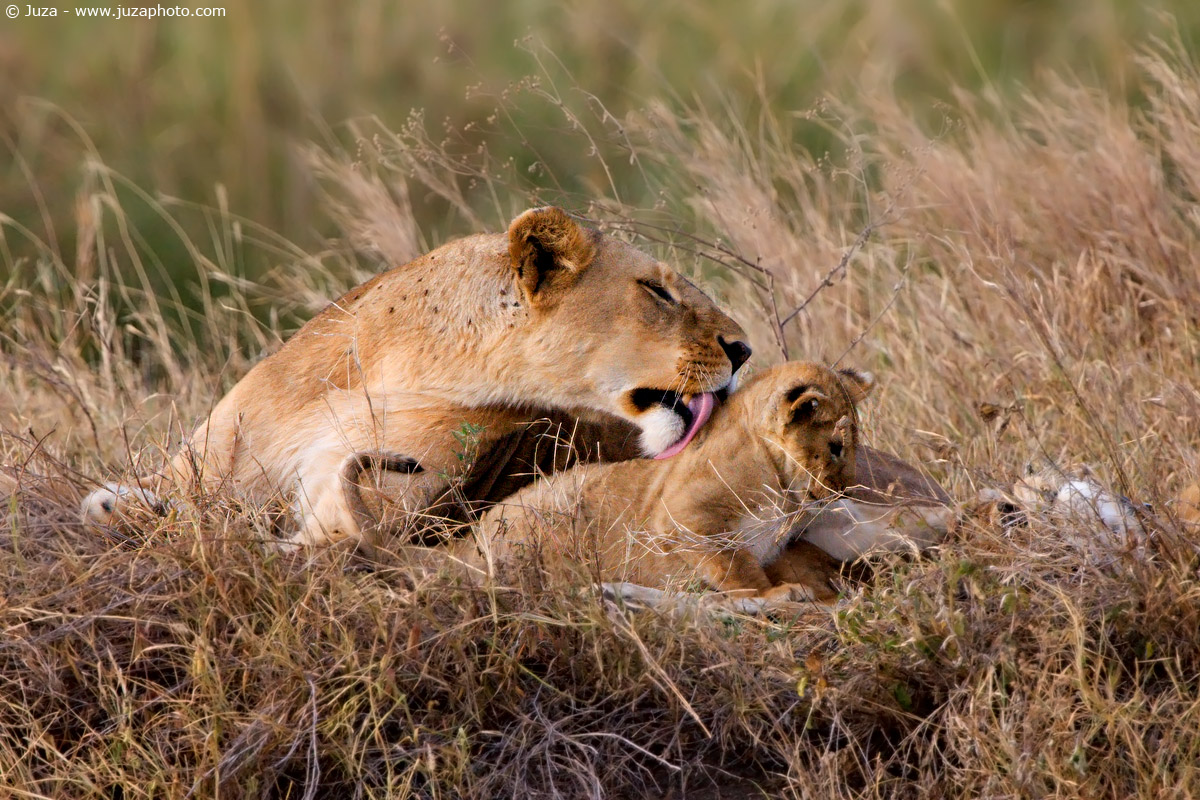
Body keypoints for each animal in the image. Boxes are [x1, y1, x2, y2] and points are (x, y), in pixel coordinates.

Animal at [82, 207, 752, 548]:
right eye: (658, 291)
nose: (744, 351)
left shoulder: (373, 509)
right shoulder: (203, 461)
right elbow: (116, 499)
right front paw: (131, 506)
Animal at [439, 361, 951, 603]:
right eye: (837, 447)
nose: (844, 491)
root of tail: (463, 547)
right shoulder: (682, 519)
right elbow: (735, 568)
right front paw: (774, 595)